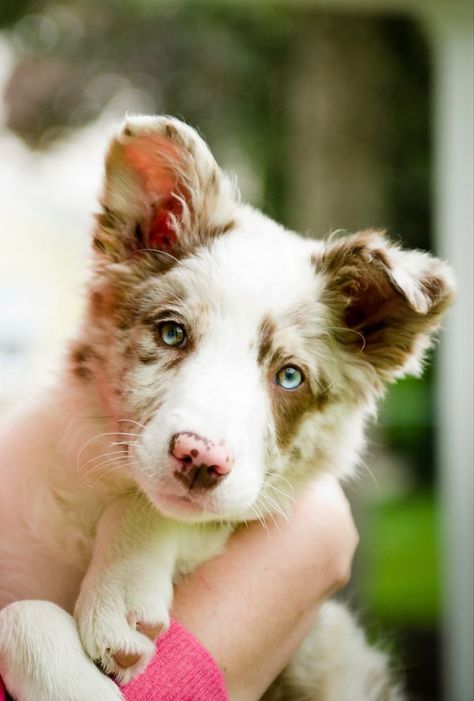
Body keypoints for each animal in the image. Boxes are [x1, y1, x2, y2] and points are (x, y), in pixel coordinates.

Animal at [0, 116, 454, 700]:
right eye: (172, 333)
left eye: (289, 377)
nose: (200, 459)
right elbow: (20, 612)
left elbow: (158, 505)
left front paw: (120, 598)